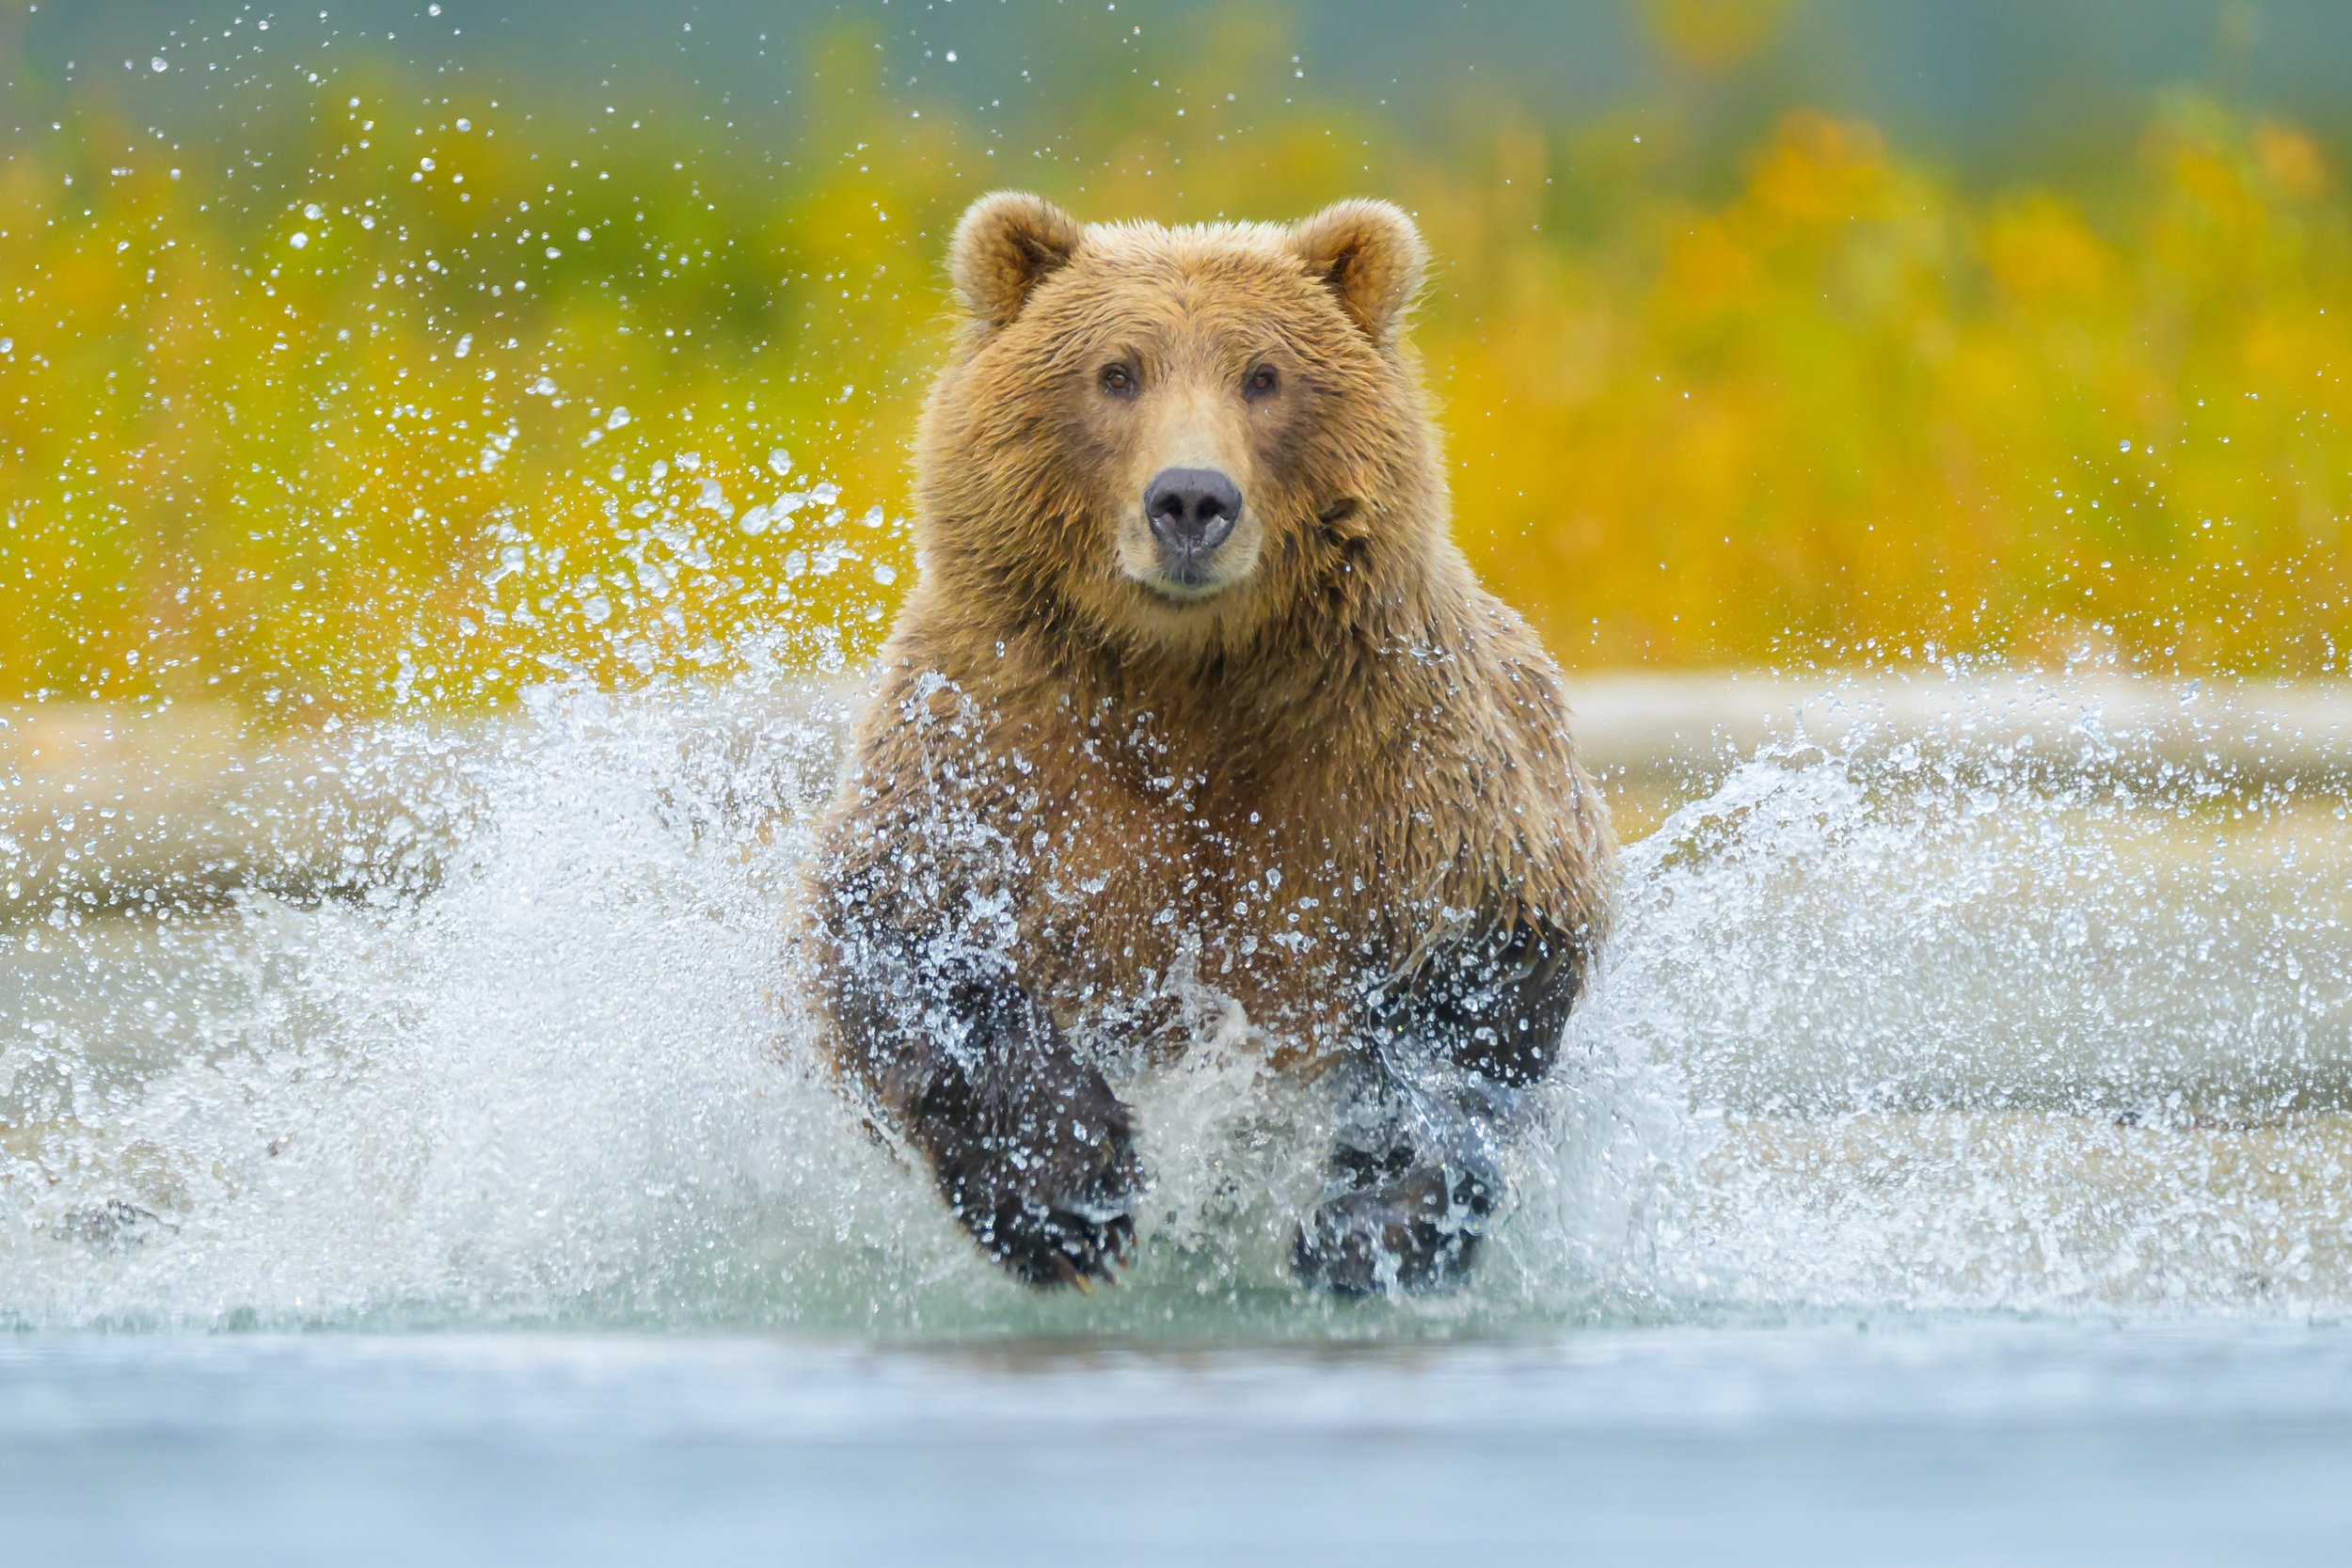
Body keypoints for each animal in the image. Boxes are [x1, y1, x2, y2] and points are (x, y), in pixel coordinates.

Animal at [806, 192, 1616, 1295]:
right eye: (1116, 371)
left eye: (1263, 375)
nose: (1190, 499)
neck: (1187, 679)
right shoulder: (999, 737)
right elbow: (902, 922)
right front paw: (1066, 1186)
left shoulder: (1396, 760)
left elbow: (1478, 972)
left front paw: (1369, 1229)